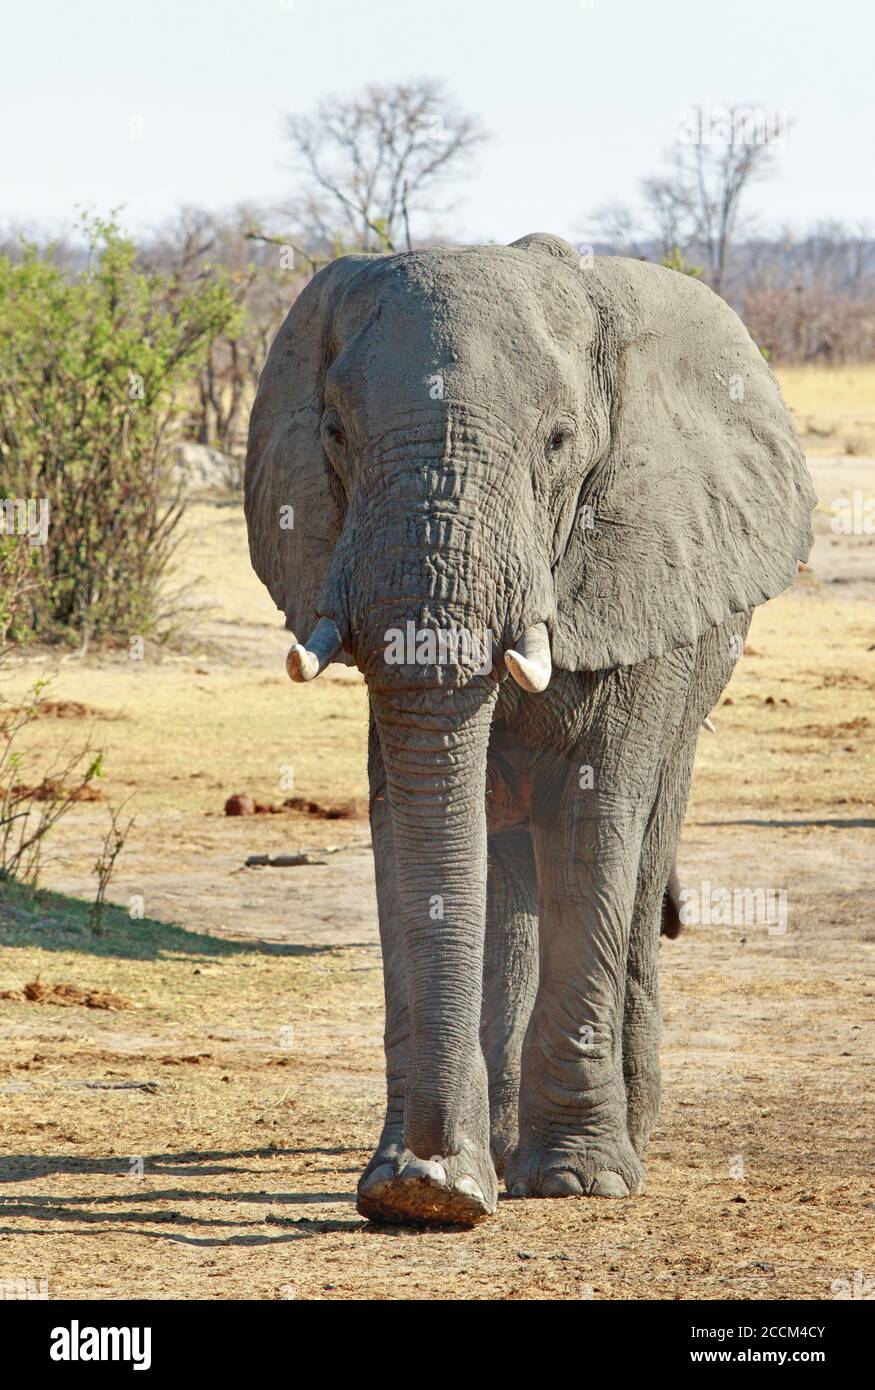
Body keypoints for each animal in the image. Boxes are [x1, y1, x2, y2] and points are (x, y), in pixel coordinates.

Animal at [244, 233, 815, 1226]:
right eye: (335, 433)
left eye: (558, 442)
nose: (430, 1183)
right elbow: (412, 820)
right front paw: (424, 1185)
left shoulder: (641, 564)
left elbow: (593, 817)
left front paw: (576, 1181)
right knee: (505, 854)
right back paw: (508, 1147)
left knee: (636, 846)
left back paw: (621, 1134)